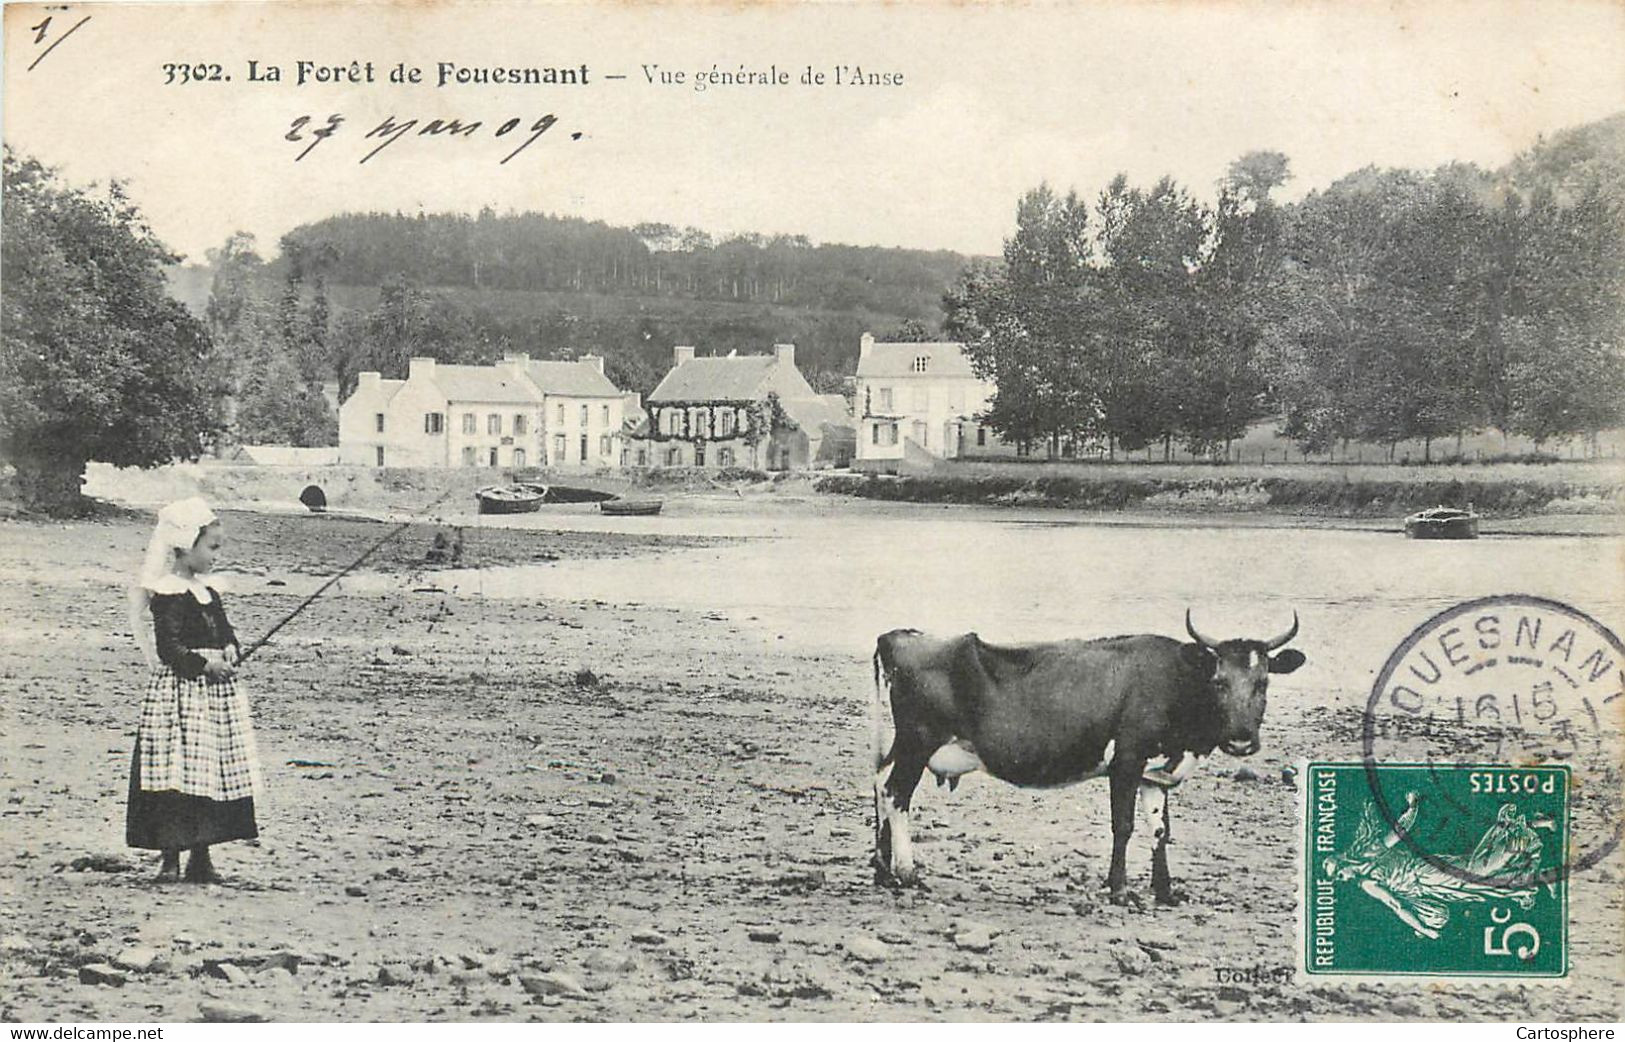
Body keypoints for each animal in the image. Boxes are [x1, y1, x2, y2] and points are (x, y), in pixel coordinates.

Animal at [871, 611, 1300, 903]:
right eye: (1219, 681)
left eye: (1263, 683)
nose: (1241, 741)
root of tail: (898, 635)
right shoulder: (1127, 760)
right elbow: (1123, 826)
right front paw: (1120, 890)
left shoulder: (1155, 771)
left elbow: (1160, 830)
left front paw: (1165, 891)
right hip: (918, 740)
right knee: (896, 794)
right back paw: (906, 873)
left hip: (902, 743)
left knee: (879, 784)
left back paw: (882, 869)